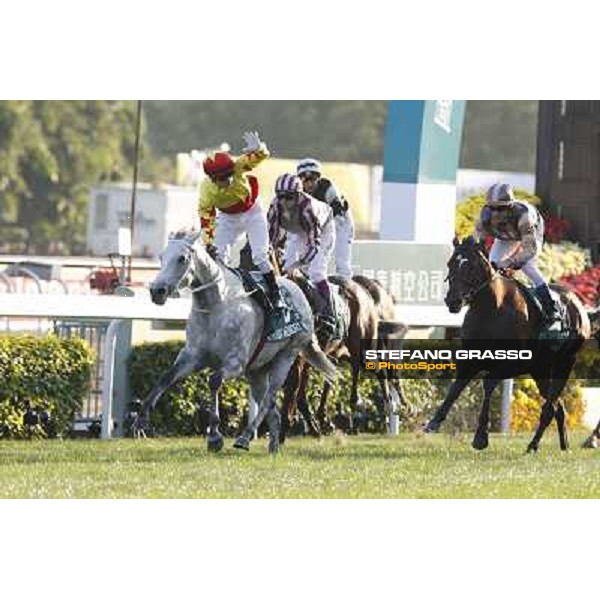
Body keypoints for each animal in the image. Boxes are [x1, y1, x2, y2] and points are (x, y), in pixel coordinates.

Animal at [134, 230, 338, 454]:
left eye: (182, 258)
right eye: (161, 257)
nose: (157, 291)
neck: (215, 307)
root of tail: (299, 291)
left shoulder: (235, 362)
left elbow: (213, 380)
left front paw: (215, 436)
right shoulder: (193, 356)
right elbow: (166, 377)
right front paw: (141, 419)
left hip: (286, 357)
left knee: (269, 399)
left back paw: (245, 437)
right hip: (257, 370)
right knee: (271, 407)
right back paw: (273, 445)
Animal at [422, 237, 592, 452]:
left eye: (471, 266)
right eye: (451, 263)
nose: (453, 300)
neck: (491, 309)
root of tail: (578, 303)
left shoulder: (511, 363)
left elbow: (488, 383)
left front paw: (481, 436)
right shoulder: (470, 359)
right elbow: (456, 387)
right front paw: (434, 422)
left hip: (566, 361)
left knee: (549, 407)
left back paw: (533, 445)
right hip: (540, 369)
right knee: (557, 406)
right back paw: (562, 445)